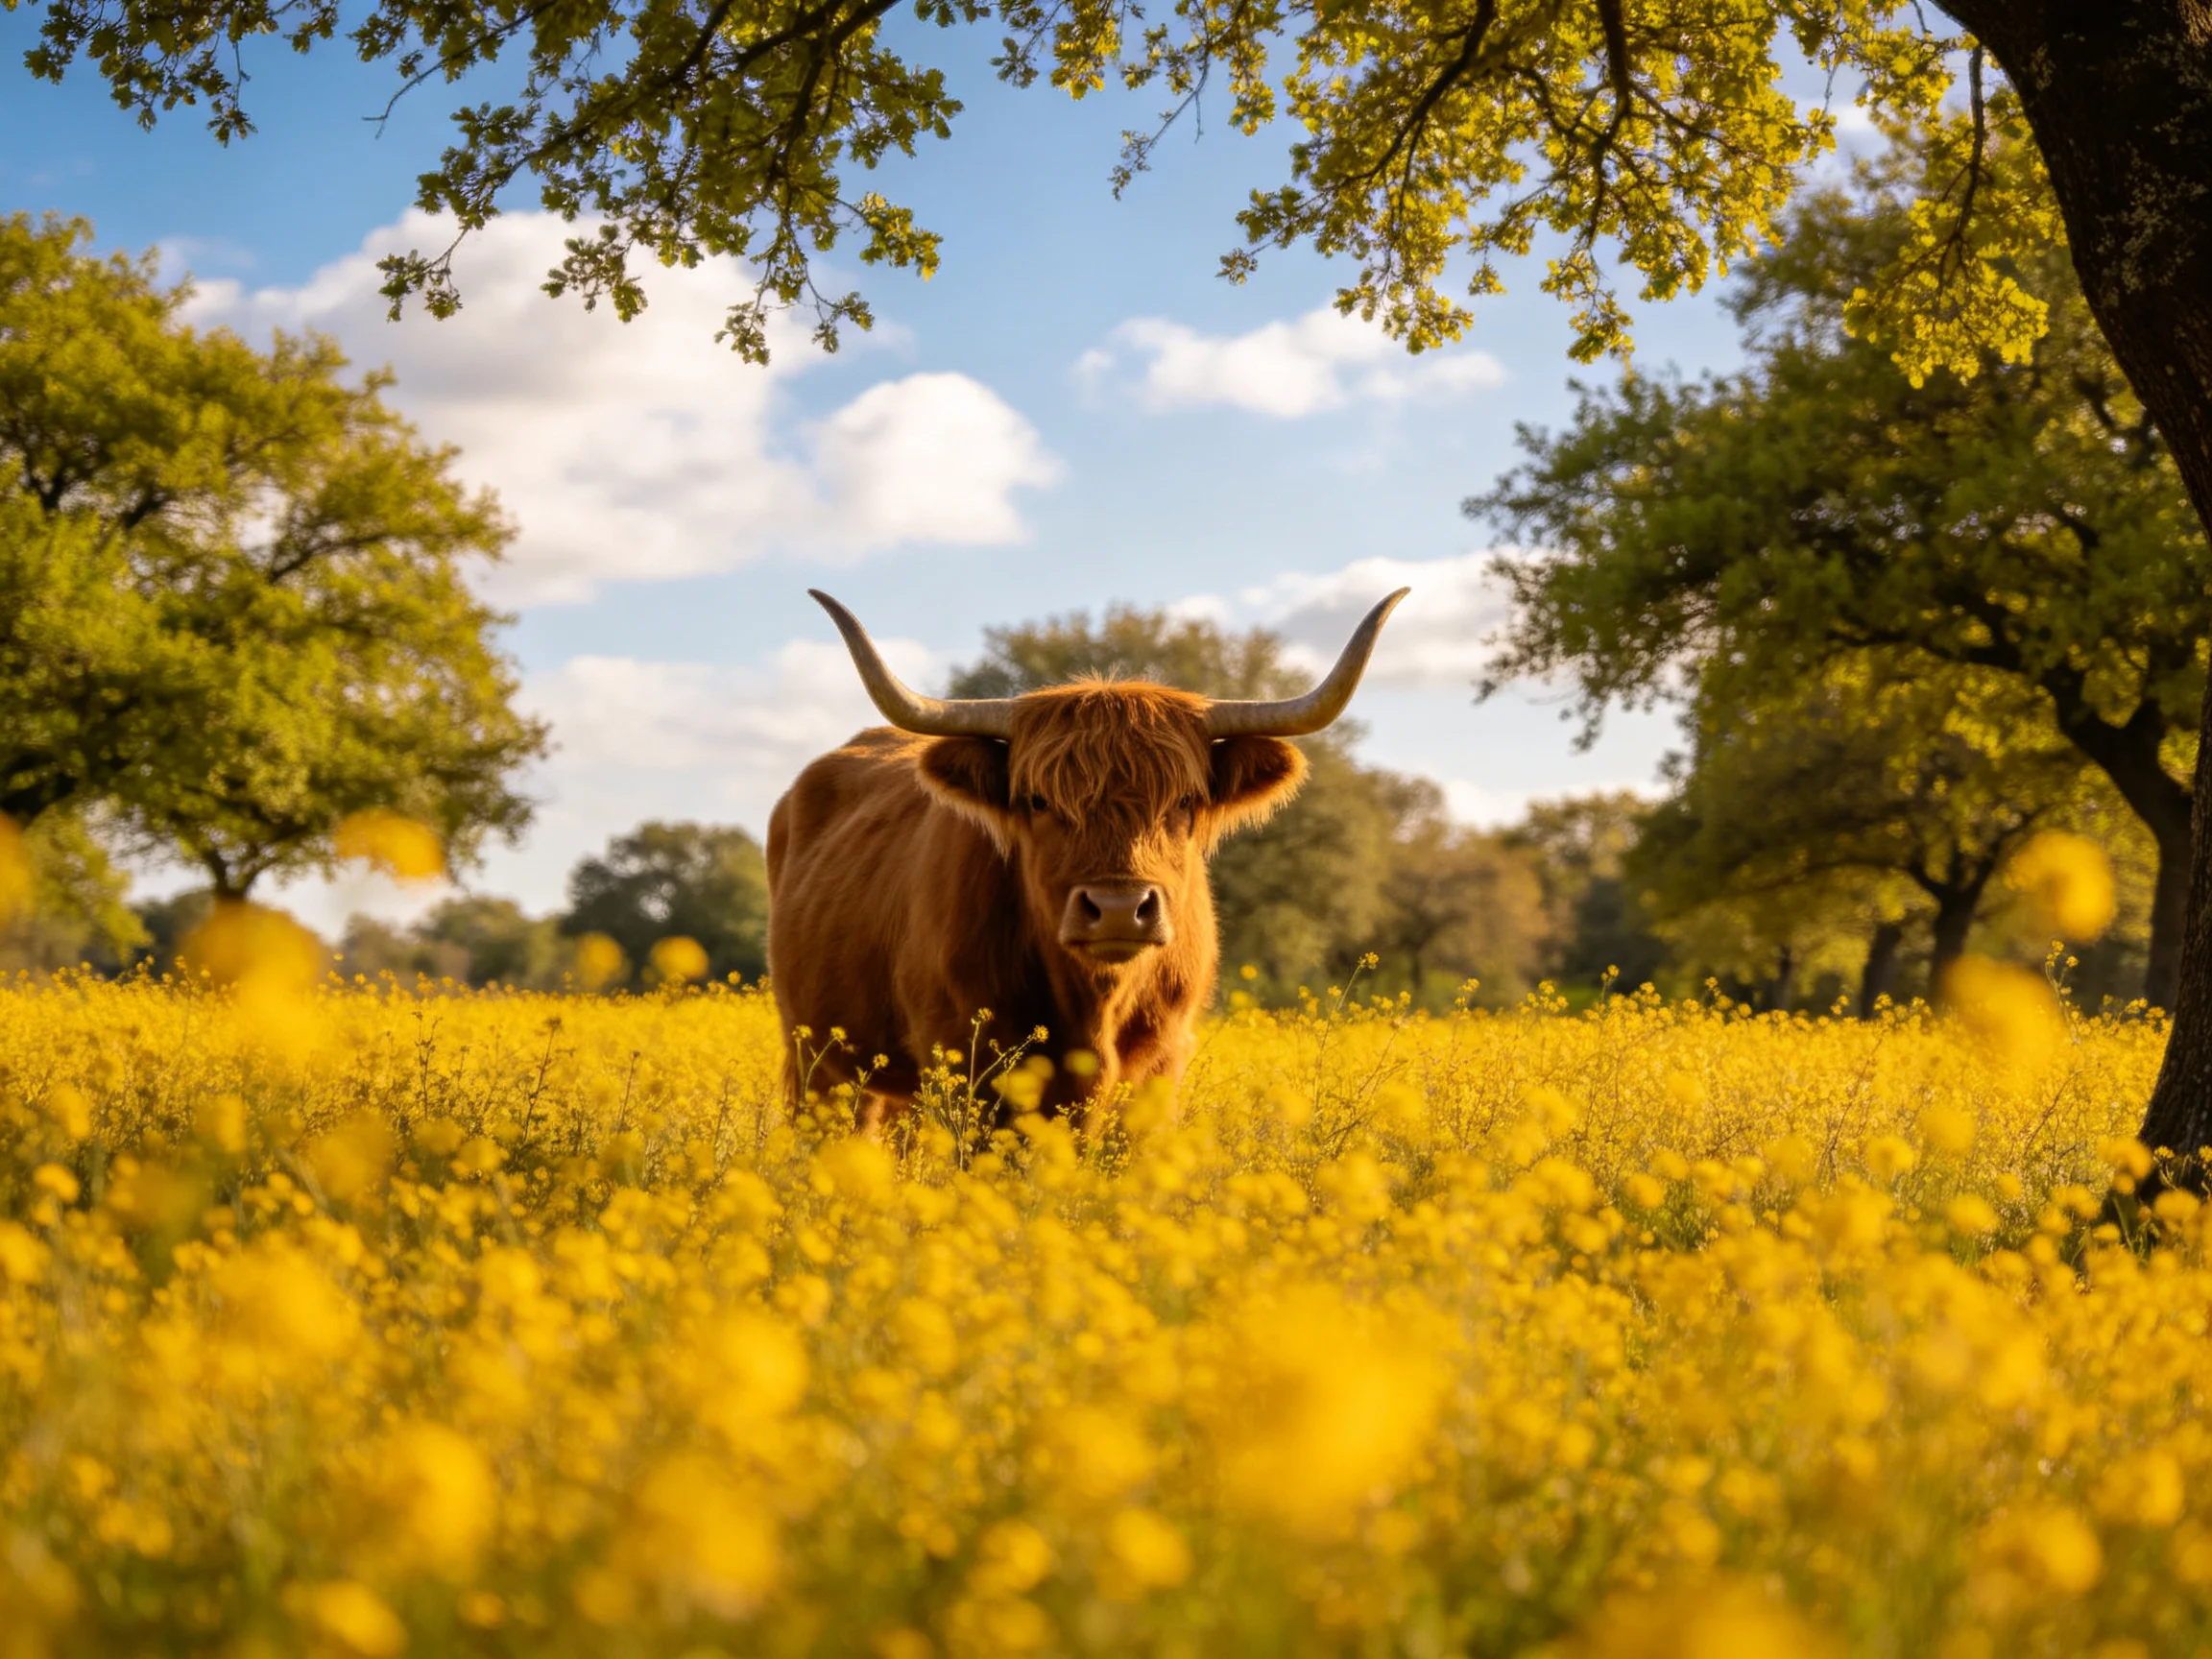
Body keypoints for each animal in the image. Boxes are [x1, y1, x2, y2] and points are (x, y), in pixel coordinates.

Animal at [766, 586, 1409, 1126]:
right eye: (1037, 799)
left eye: (1184, 799)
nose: (1120, 909)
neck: (1096, 1004)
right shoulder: (963, 1067)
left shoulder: (1160, 1069)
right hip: (817, 1063)